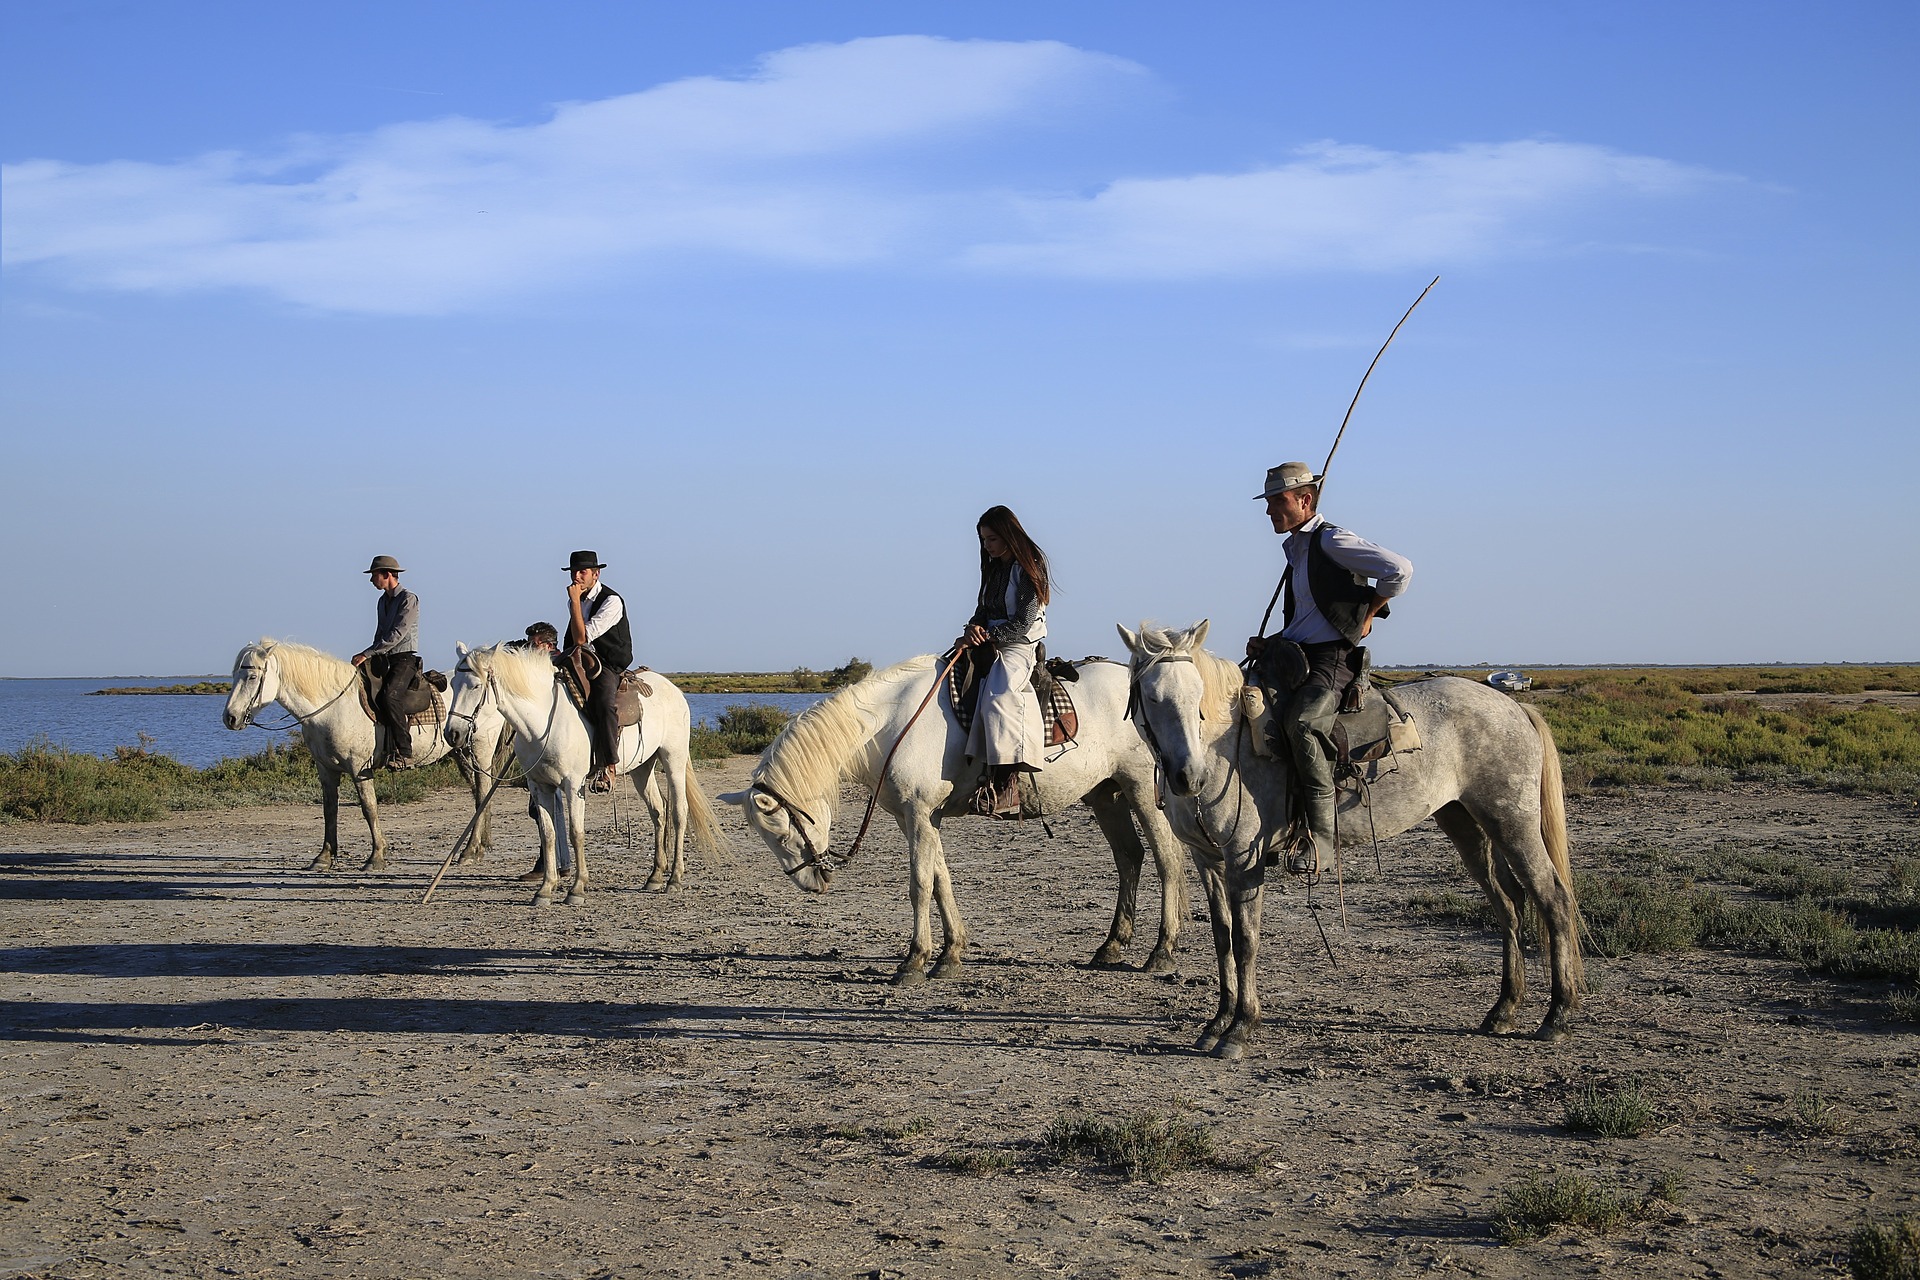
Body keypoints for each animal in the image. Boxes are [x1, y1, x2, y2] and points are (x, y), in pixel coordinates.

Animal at [221, 637, 480, 871]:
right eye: (233, 675)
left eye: (252, 677)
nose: (230, 718)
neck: (332, 708)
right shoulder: (325, 768)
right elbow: (329, 810)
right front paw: (324, 857)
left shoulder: (359, 768)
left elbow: (369, 808)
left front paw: (376, 856)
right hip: (461, 754)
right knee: (478, 794)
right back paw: (477, 846)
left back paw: (470, 850)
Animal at [445, 644, 721, 905]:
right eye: (453, 685)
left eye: (475, 685)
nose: (452, 734)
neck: (544, 721)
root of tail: (672, 689)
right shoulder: (539, 785)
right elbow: (548, 834)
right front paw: (545, 890)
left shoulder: (573, 784)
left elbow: (575, 833)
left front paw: (577, 888)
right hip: (642, 768)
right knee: (658, 810)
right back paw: (654, 876)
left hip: (674, 758)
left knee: (678, 812)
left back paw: (674, 878)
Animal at [721, 656, 1190, 990]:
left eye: (781, 831)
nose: (811, 883)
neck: (889, 725)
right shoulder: (921, 819)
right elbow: (940, 881)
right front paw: (950, 956)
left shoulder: (919, 815)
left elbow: (919, 885)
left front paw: (913, 961)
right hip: (1106, 795)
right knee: (1129, 858)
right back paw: (1112, 946)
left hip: (1141, 790)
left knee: (1166, 860)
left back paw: (1162, 951)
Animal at [1121, 621, 1582, 1059]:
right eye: (1152, 696)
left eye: (1198, 694)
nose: (1189, 777)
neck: (1224, 749)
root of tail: (1514, 706)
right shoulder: (1208, 860)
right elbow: (1222, 938)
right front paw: (1216, 1024)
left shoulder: (1243, 861)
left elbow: (1245, 941)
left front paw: (1239, 1029)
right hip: (1466, 824)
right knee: (1509, 906)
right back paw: (1503, 1010)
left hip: (1513, 822)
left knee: (1553, 900)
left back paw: (1557, 1016)